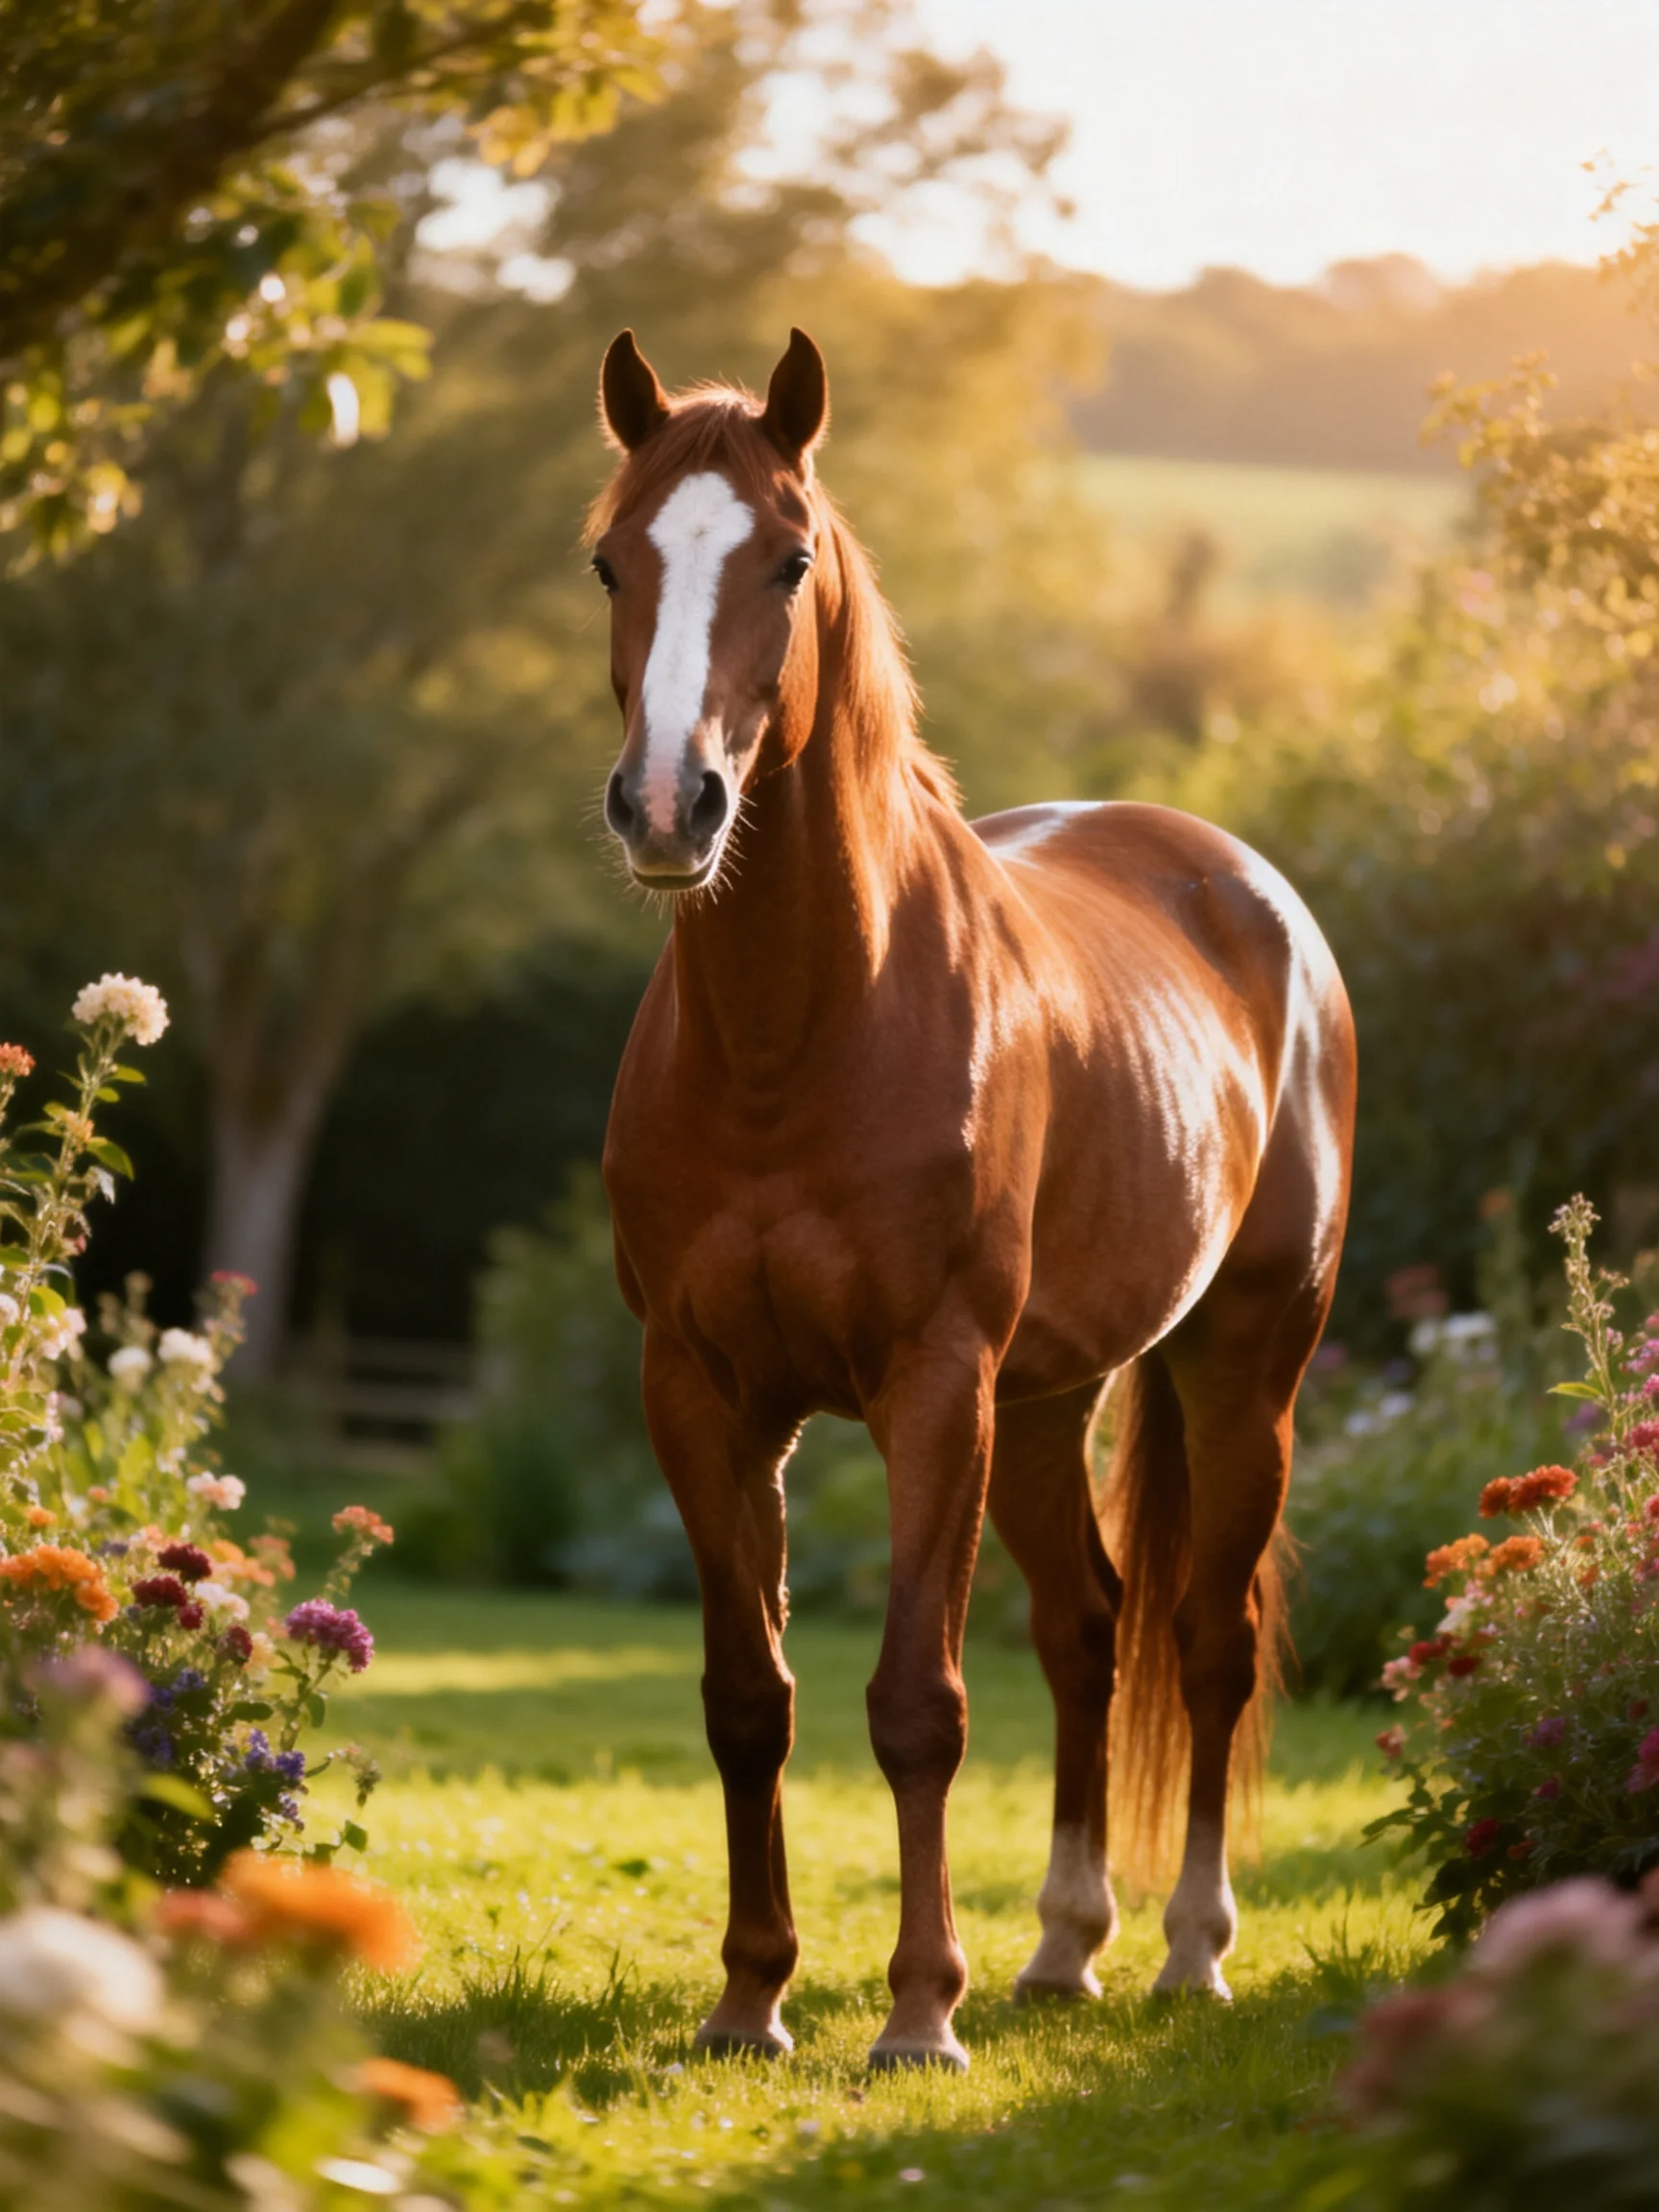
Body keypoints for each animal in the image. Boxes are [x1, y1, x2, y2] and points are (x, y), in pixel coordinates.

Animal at [592, 327, 1356, 2072]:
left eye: (788, 558)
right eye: (609, 561)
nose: (669, 806)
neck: (799, 1029)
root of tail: (1246, 888)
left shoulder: (933, 1385)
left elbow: (916, 1704)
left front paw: (915, 2013)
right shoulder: (704, 1391)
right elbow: (749, 1695)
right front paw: (751, 1996)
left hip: (1239, 1368)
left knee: (1202, 1638)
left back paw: (1187, 1952)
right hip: (1052, 1398)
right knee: (1087, 1627)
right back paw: (1064, 1947)